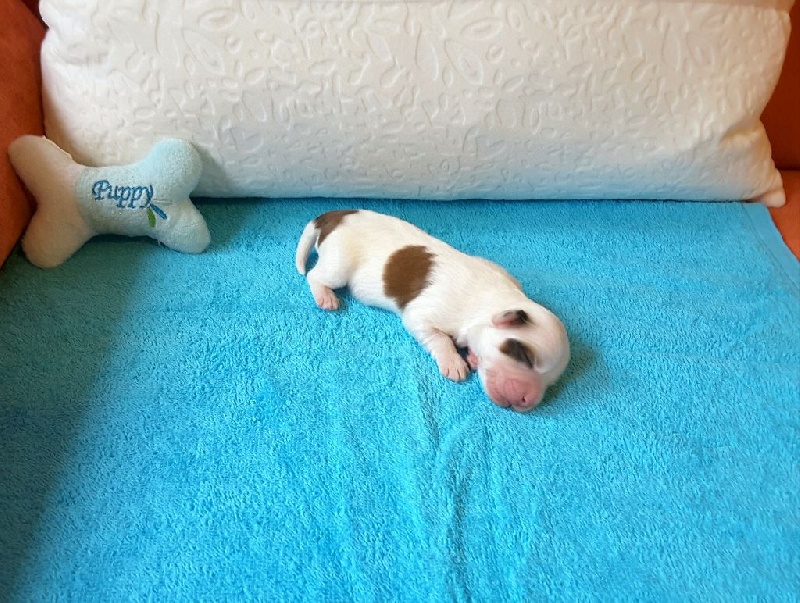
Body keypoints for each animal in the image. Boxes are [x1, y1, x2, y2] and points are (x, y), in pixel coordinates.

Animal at [295, 209, 570, 411]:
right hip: (338, 263)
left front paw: (472, 356)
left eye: (552, 382)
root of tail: (336, 214)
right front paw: (454, 362)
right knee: (314, 275)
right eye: (524, 356)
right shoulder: (423, 316)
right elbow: (439, 339)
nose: (527, 401)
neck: (494, 301)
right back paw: (325, 297)